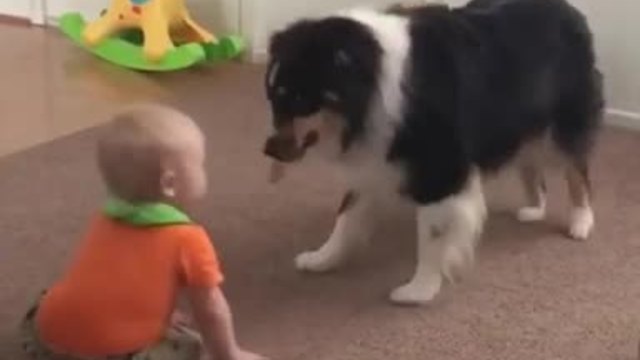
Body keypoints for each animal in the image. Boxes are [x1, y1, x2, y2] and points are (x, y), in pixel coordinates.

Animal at [262, 0, 604, 306]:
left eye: (297, 98)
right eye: (272, 98)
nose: (268, 150)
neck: (373, 87)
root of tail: (570, 10)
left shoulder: (440, 171)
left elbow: (432, 237)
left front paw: (419, 291)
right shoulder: (374, 159)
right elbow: (346, 217)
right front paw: (321, 258)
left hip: (562, 125)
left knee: (578, 172)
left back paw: (581, 223)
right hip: (519, 125)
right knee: (531, 167)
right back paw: (534, 210)